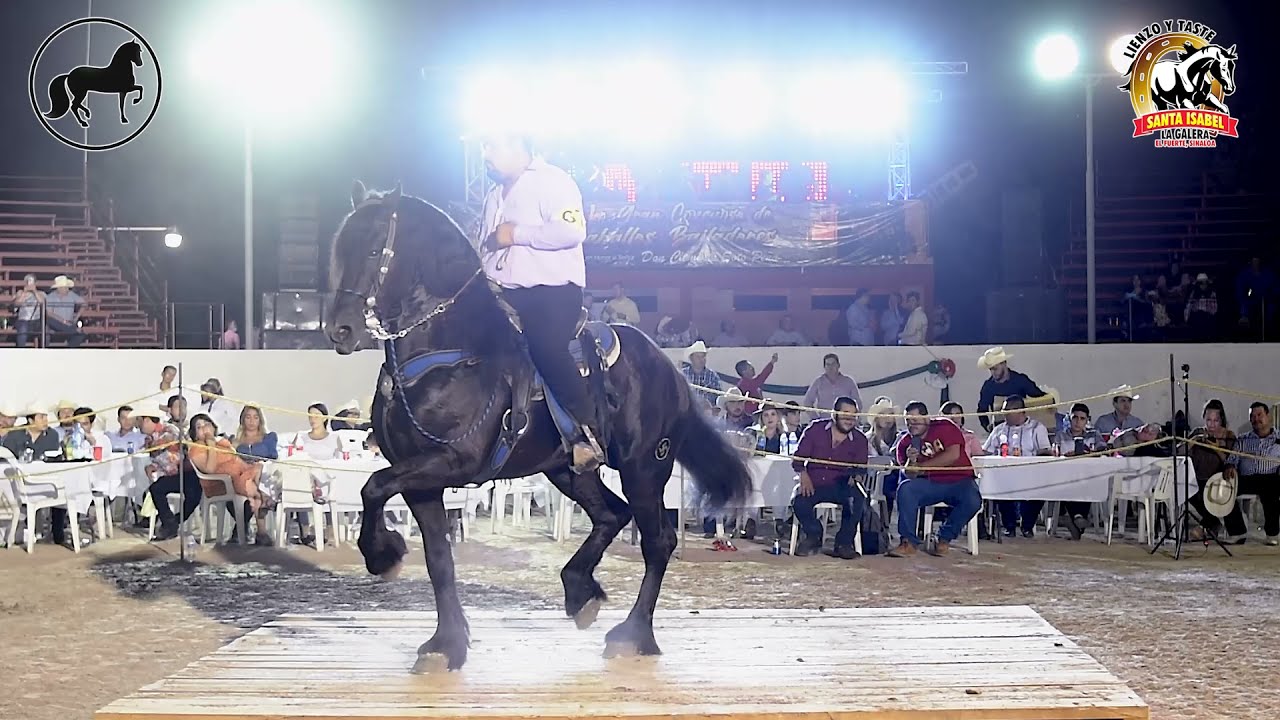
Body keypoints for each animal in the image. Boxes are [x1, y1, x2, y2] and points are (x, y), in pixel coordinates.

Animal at [326, 181, 751, 671]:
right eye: (340, 247)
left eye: (375, 249)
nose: (339, 330)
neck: (451, 353)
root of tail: (671, 371)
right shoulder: (421, 480)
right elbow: (437, 557)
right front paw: (446, 643)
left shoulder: (453, 461)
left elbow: (372, 485)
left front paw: (383, 554)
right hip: (567, 469)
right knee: (611, 514)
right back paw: (580, 591)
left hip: (644, 469)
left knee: (657, 540)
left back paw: (633, 635)